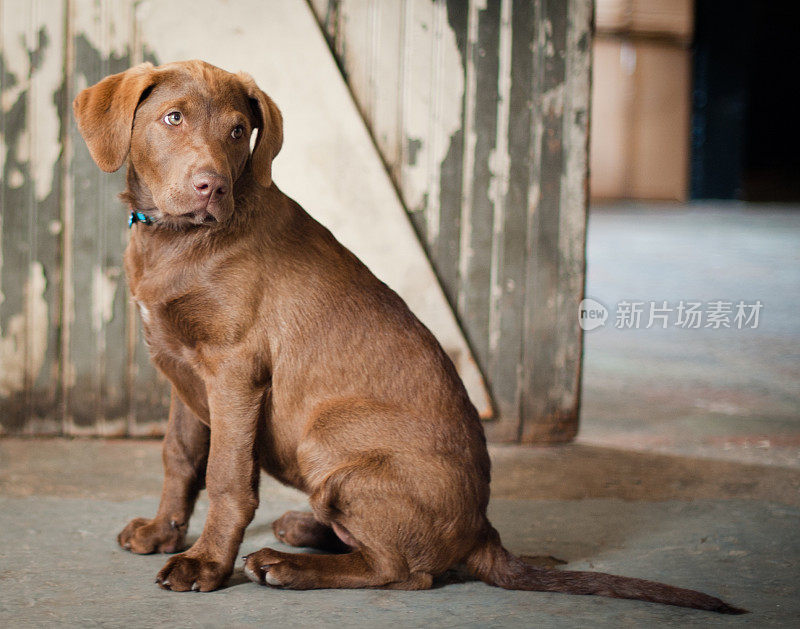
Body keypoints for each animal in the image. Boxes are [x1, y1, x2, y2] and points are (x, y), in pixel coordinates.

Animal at [73, 61, 744, 612]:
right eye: (172, 118)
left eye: (239, 133)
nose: (211, 186)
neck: (176, 240)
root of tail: (483, 532)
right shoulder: (184, 373)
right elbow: (180, 457)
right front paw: (163, 533)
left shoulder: (235, 371)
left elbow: (227, 476)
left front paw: (207, 564)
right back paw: (306, 531)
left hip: (328, 439)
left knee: (404, 571)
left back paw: (286, 565)